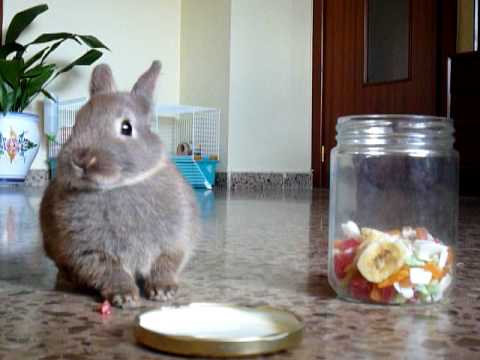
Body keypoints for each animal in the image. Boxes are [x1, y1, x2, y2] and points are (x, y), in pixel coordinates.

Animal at [39, 61, 199, 306]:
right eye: (76, 124)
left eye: (126, 128)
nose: (81, 160)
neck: (120, 185)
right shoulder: (92, 253)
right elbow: (111, 273)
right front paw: (125, 296)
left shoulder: (174, 242)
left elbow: (165, 265)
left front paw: (163, 291)